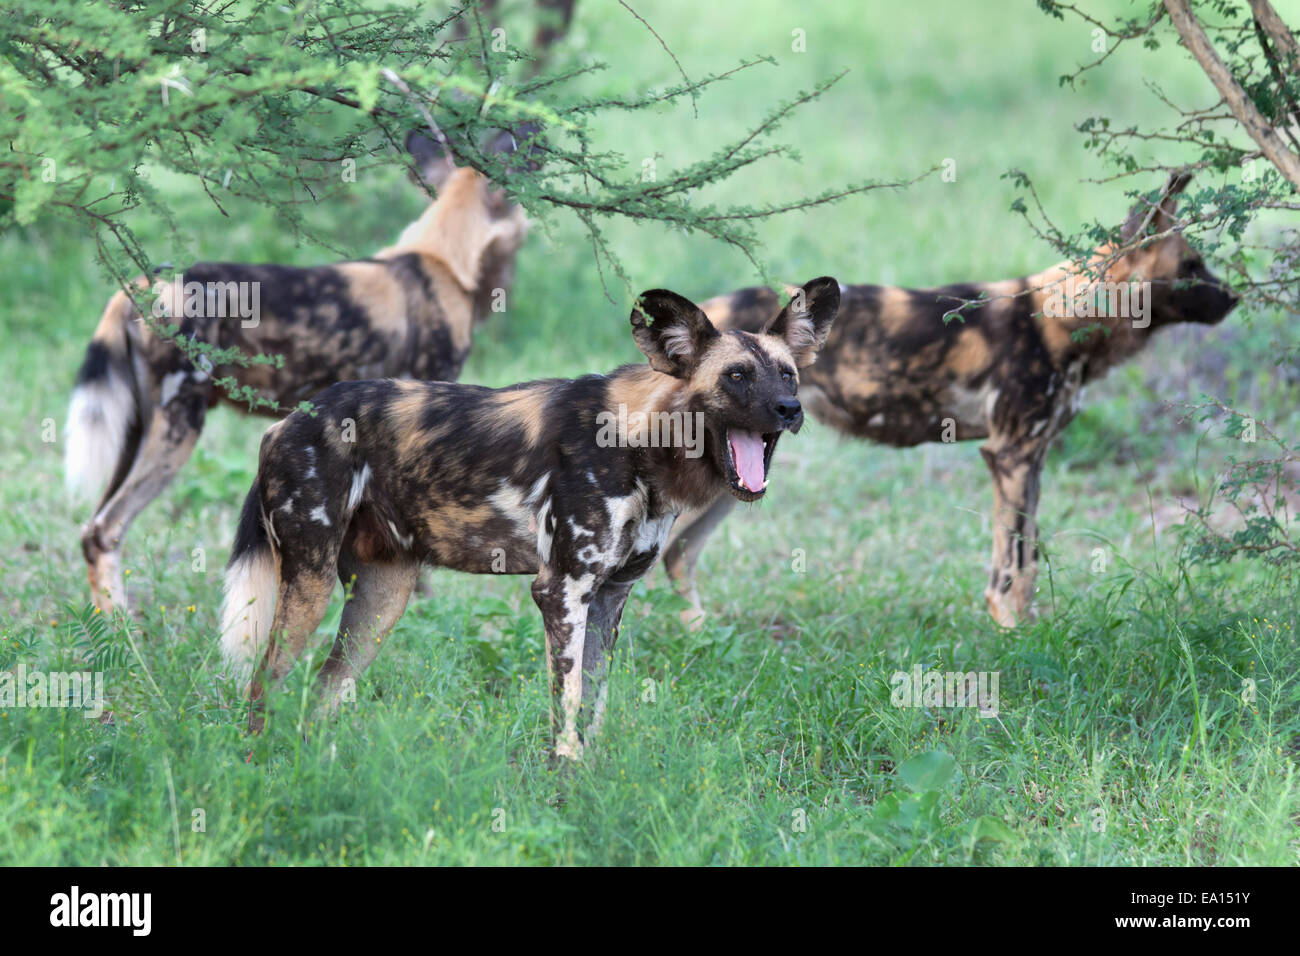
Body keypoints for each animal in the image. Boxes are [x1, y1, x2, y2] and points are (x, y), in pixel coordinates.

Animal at [64, 125, 533, 613]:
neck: (442, 258)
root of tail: (135, 287)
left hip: (137, 431)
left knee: (92, 529)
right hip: (178, 426)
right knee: (105, 529)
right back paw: (124, 623)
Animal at [217, 278, 837, 764]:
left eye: (787, 374)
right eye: (736, 376)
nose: (790, 410)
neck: (641, 442)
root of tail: (289, 419)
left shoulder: (609, 597)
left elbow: (595, 700)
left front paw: (589, 773)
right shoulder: (562, 590)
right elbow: (568, 699)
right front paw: (564, 778)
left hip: (381, 600)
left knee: (323, 691)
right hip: (311, 583)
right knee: (263, 685)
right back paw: (260, 768)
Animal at [665, 174, 1242, 629]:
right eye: (1192, 266)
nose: (1236, 297)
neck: (1070, 316)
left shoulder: (1031, 459)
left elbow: (1029, 558)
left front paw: (1031, 630)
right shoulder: (1011, 455)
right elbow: (1011, 563)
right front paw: (1012, 631)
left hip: (736, 476)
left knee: (677, 555)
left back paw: (703, 635)